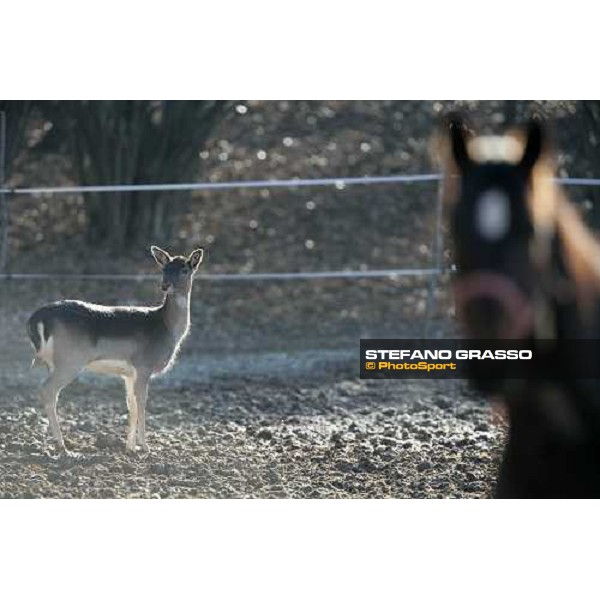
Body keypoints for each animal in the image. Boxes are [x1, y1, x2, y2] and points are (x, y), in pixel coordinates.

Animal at [27, 246, 204, 452]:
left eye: (184, 269)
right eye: (164, 268)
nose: (165, 285)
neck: (166, 328)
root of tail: (38, 319)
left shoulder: (128, 373)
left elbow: (131, 406)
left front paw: (130, 447)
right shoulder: (144, 365)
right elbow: (142, 402)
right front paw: (145, 447)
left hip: (52, 363)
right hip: (70, 360)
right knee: (47, 390)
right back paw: (63, 446)